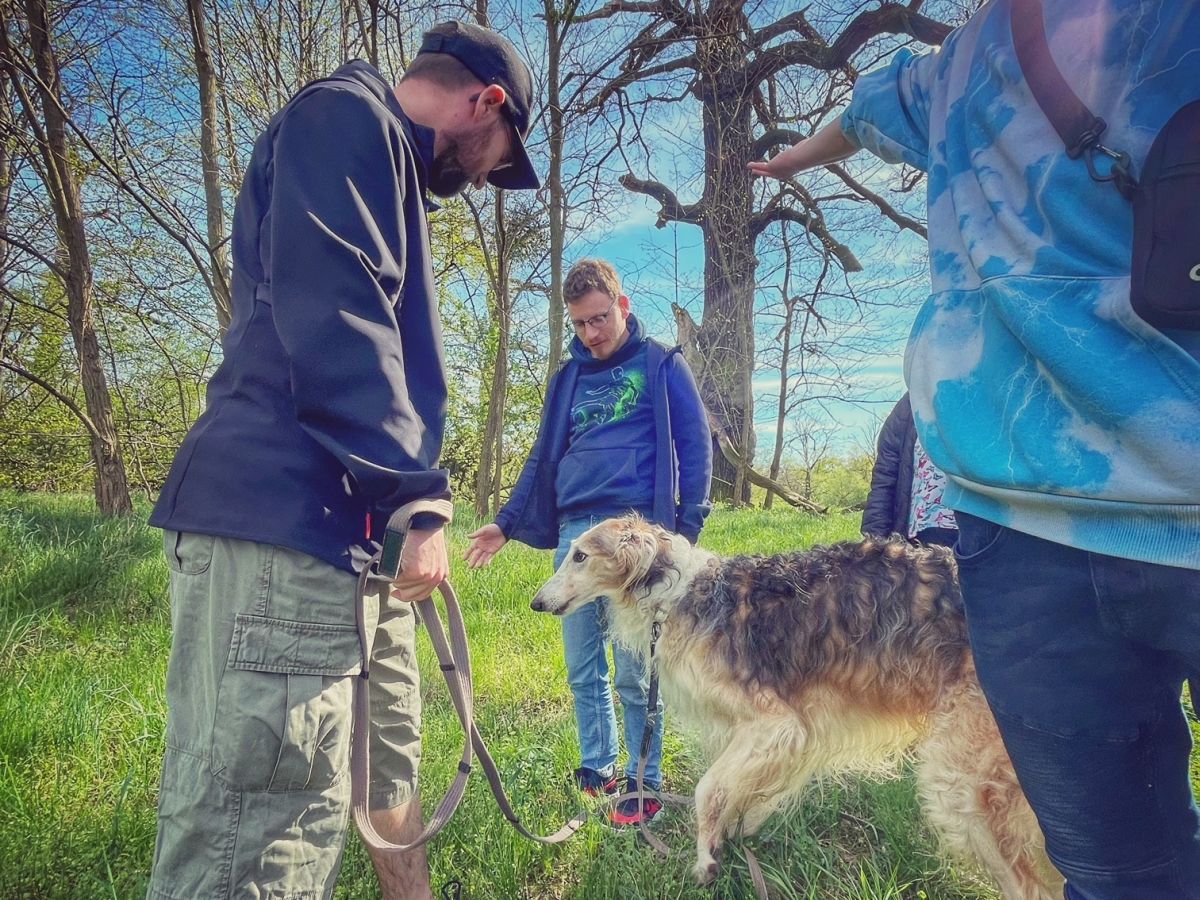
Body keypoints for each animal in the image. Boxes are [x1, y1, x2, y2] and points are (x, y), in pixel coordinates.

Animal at [530, 518, 1065, 897]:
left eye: (579, 555)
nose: (537, 603)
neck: (675, 594)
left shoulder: (777, 723)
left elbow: (707, 791)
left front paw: (705, 861)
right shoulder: (774, 735)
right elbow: (737, 798)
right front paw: (729, 840)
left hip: (963, 781)